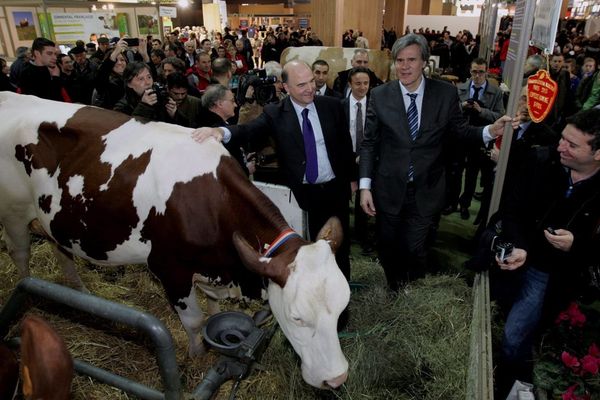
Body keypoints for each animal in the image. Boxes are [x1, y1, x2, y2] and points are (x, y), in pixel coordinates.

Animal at [0, 92, 352, 390]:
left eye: (341, 309)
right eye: (296, 317)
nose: (336, 378)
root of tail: (11, 96)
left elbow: (212, 307)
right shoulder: (170, 269)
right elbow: (194, 321)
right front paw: (196, 354)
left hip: (55, 217)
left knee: (62, 251)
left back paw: (78, 291)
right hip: (14, 210)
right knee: (20, 254)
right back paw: (30, 295)